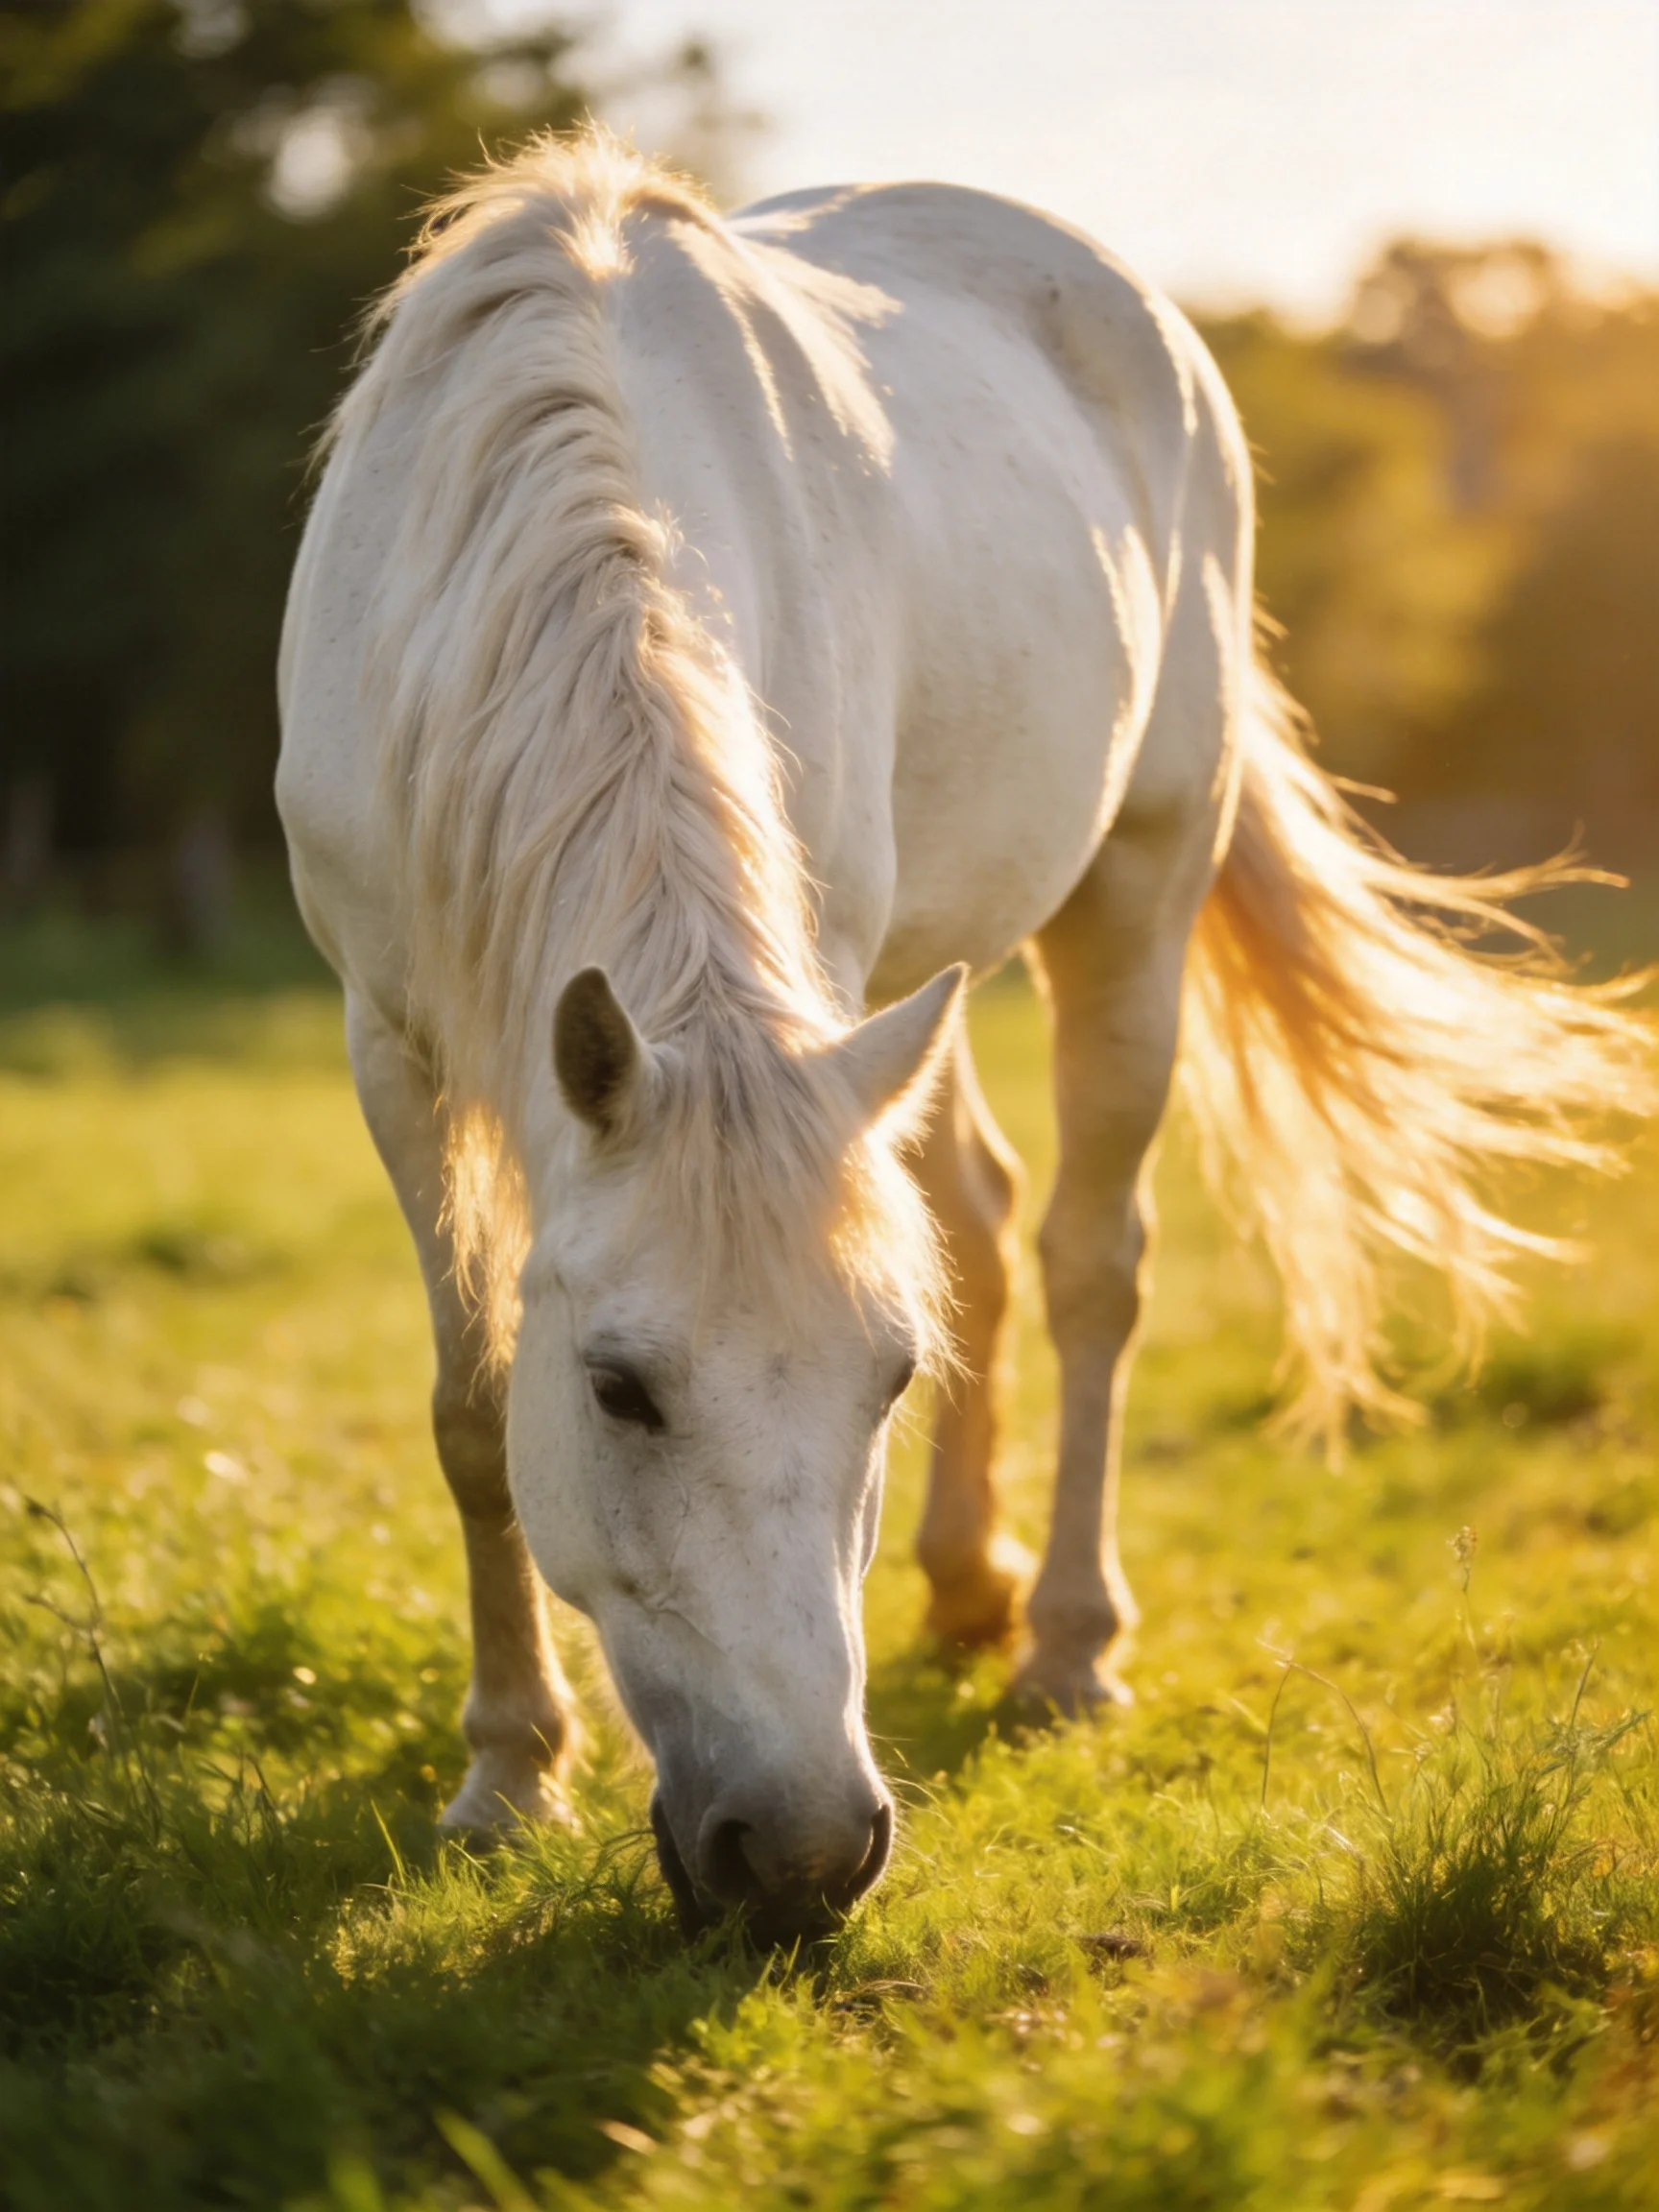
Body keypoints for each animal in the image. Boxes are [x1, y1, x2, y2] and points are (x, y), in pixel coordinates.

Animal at [276, 130, 1652, 1944]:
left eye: (886, 1378)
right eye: (621, 1389)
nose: (801, 1854)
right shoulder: (392, 1037)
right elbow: (466, 1400)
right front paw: (508, 1771)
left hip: (1129, 888)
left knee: (1086, 1257)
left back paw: (1063, 1641)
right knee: (987, 1223)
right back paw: (963, 1589)